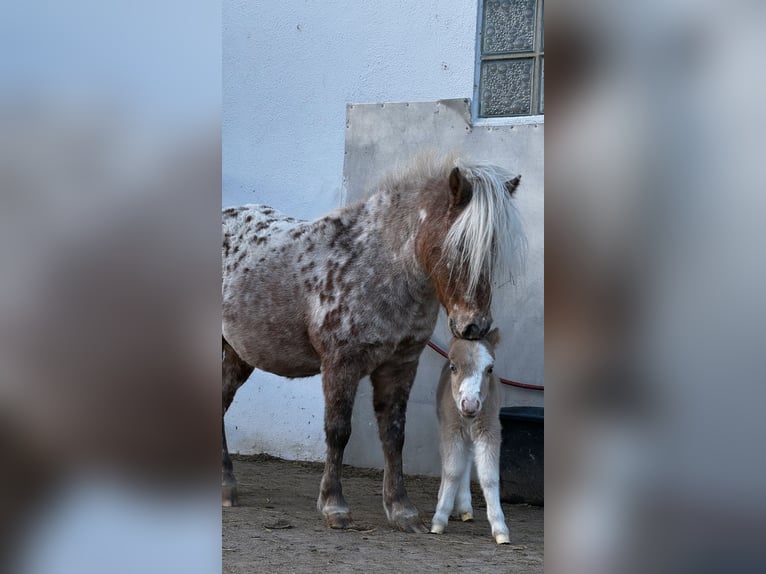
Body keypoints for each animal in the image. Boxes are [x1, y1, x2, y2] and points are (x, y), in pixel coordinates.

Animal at [428, 330, 512, 548]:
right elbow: (452, 472)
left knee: (466, 459)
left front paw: (500, 529)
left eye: (490, 369)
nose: (470, 404)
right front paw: (439, 519)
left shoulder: (489, 430)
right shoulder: (452, 430)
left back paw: (465, 508)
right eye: (453, 367)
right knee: (449, 460)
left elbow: (489, 478)